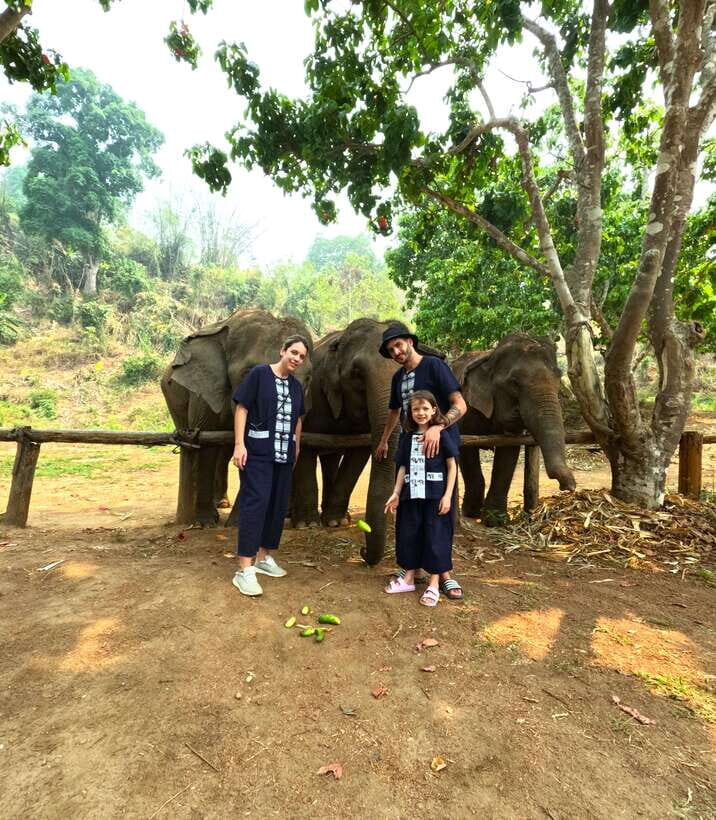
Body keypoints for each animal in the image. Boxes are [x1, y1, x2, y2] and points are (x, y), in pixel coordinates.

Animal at [161, 309, 313, 525]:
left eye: (308, 378)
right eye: (249, 373)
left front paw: (236, 522)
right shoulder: (205, 394)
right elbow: (206, 443)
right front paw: (205, 522)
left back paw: (221, 503)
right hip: (172, 393)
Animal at [290, 318, 401, 565]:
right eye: (357, 373)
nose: (362, 552)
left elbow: (359, 452)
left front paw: (335, 522)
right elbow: (304, 446)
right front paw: (307, 524)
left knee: (331, 458)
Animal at [454, 333, 576, 525]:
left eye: (559, 377)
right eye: (514, 383)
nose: (569, 487)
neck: (490, 359)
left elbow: (509, 451)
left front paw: (496, 521)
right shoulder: (465, 404)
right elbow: (466, 448)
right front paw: (472, 513)